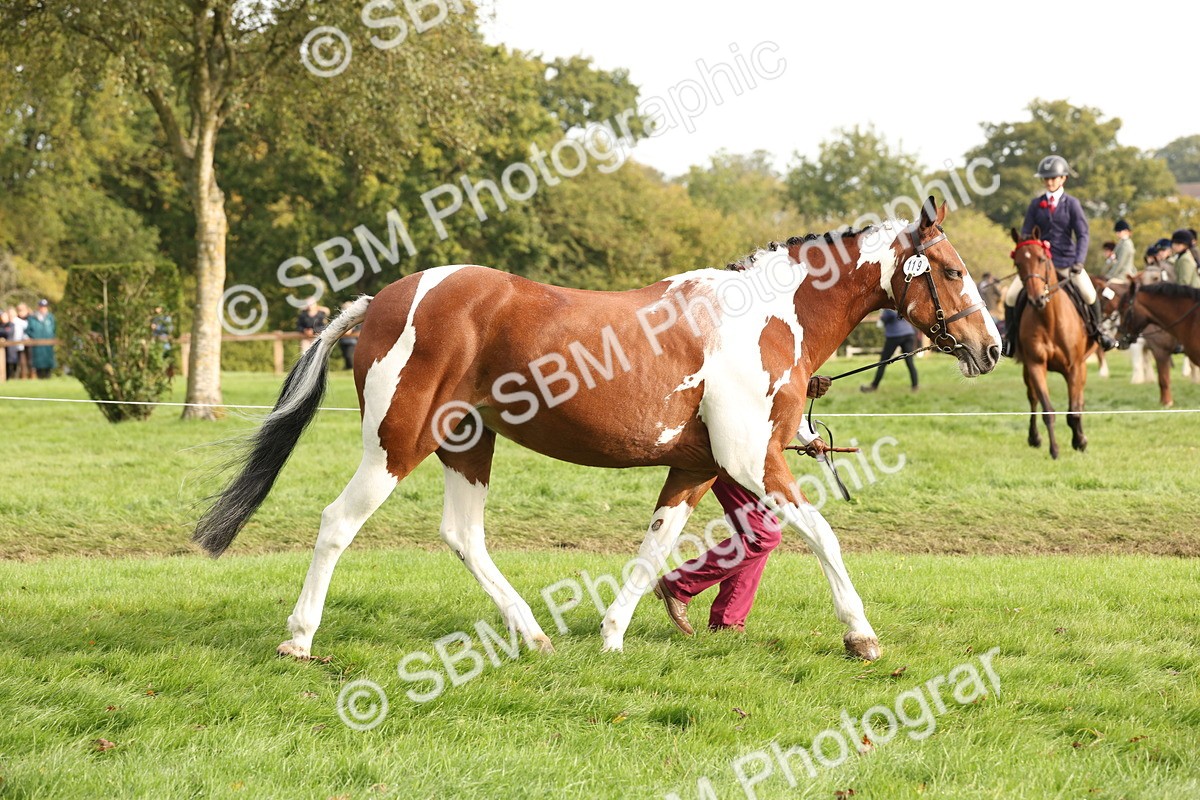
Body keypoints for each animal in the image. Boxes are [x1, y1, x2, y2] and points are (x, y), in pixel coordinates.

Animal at [194, 198, 1000, 663]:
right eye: (952, 271)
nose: (990, 347)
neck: (768, 318)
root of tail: (384, 298)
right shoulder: (751, 458)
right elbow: (824, 536)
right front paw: (861, 635)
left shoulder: (697, 467)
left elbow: (654, 551)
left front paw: (613, 634)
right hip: (398, 443)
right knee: (337, 522)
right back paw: (299, 639)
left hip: (468, 443)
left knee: (463, 535)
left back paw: (533, 633)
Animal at [1008, 228, 1096, 459]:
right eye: (1018, 264)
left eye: (1041, 258)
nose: (1037, 299)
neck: (1049, 319)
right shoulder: (1036, 365)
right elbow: (1047, 409)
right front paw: (1054, 449)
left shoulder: (1074, 367)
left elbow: (1074, 411)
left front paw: (1080, 441)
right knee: (1032, 398)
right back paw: (1034, 438)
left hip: (1082, 367)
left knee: (1079, 400)